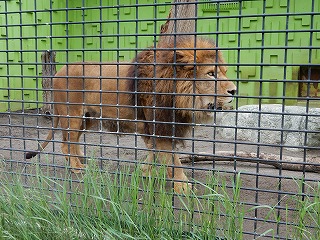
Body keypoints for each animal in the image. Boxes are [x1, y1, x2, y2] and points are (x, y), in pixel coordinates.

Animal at [26, 36, 236, 193]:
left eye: (225, 72)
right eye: (211, 74)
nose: (234, 91)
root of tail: (58, 72)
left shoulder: (151, 126)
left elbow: (154, 151)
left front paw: (146, 171)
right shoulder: (159, 124)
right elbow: (171, 158)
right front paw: (182, 185)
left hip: (88, 117)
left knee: (73, 140)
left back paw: (81, 159)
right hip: (73, 115)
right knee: (65, 143)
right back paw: (77, 167)